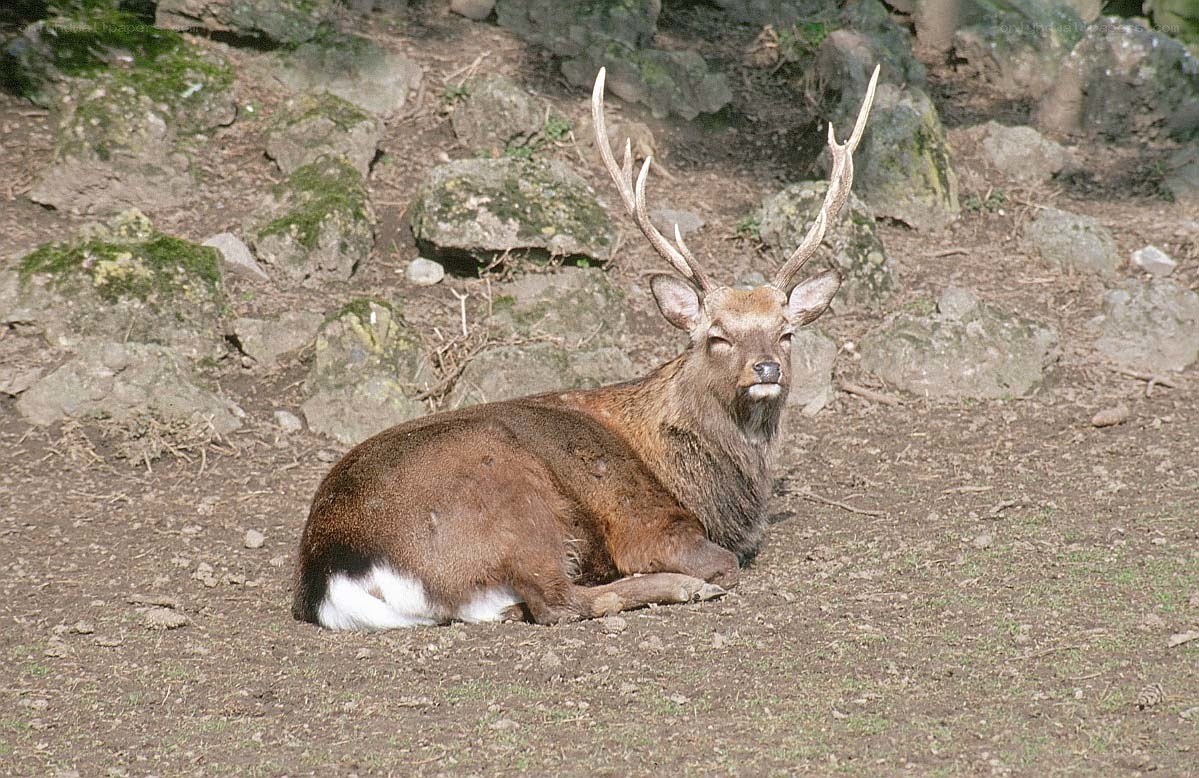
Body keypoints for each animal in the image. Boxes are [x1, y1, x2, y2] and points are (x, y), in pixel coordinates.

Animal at [292, 66, 880, 631]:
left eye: (787, 331)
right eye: (716, 335)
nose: (766, 368)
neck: (716, 491)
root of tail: (332, 573)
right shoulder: (644, 522)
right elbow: (724, 561)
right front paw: (698, 576)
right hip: (511, 493)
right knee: (557, 601)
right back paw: (680, 588)